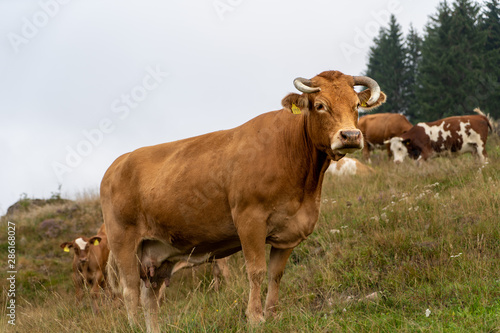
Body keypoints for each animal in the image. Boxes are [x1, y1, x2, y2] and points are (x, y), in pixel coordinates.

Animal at [99, 68, 384, 330]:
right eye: (320, 105)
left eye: (356, 105)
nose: (350, 136)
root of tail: (118, 163)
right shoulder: (249, 219)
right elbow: (256, 271)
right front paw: (255, 317)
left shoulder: (289, 230)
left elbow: (276, 274)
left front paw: (273, 315)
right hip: (124, 241)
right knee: (130, 291)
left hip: (156, 254)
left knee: (150, 297)